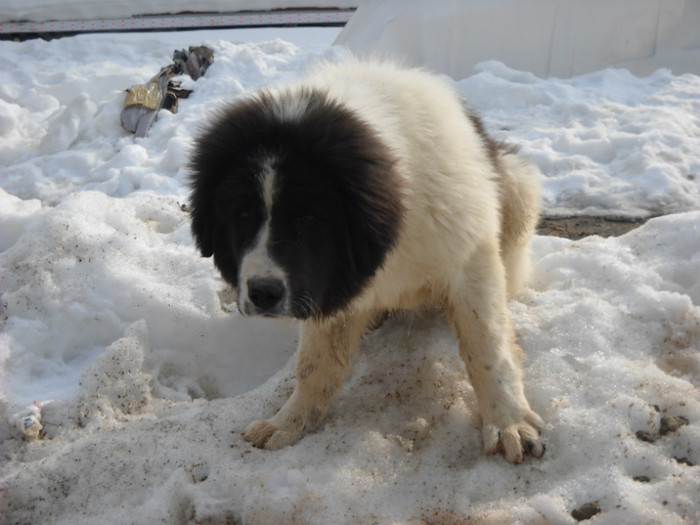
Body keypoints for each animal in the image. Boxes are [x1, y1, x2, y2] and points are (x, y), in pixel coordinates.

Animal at [190, 60, 548, 462]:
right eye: (243, 214)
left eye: (309, 219)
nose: (263, 293)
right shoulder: (326, 284)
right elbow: (313, 364)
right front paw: (290, 422)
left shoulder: (469, 258)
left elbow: (486, 346)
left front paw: (508, 423)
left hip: (517, 183)